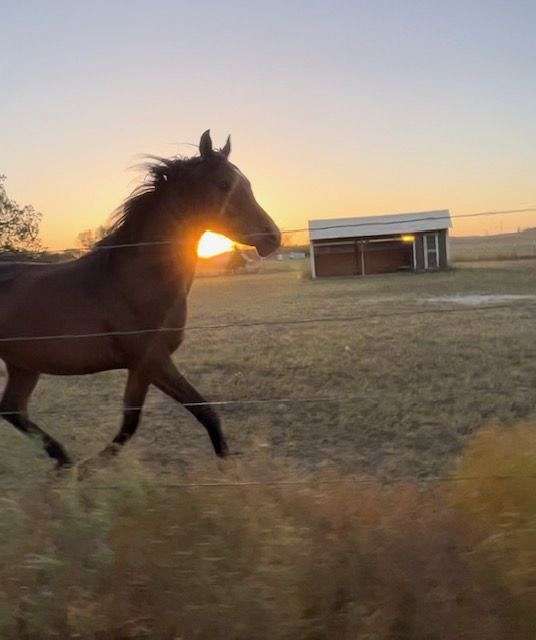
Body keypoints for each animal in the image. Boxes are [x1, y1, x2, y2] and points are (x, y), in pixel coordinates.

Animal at [0, 131, 282, 470]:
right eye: (225, 184)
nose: (273, 238)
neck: (137, 280)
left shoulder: (142, 368)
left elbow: (132, 423)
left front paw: (86, 469)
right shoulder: (153, 360)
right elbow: (203, 412)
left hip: (23, 365)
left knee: (11, 408)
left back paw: (63, 461)